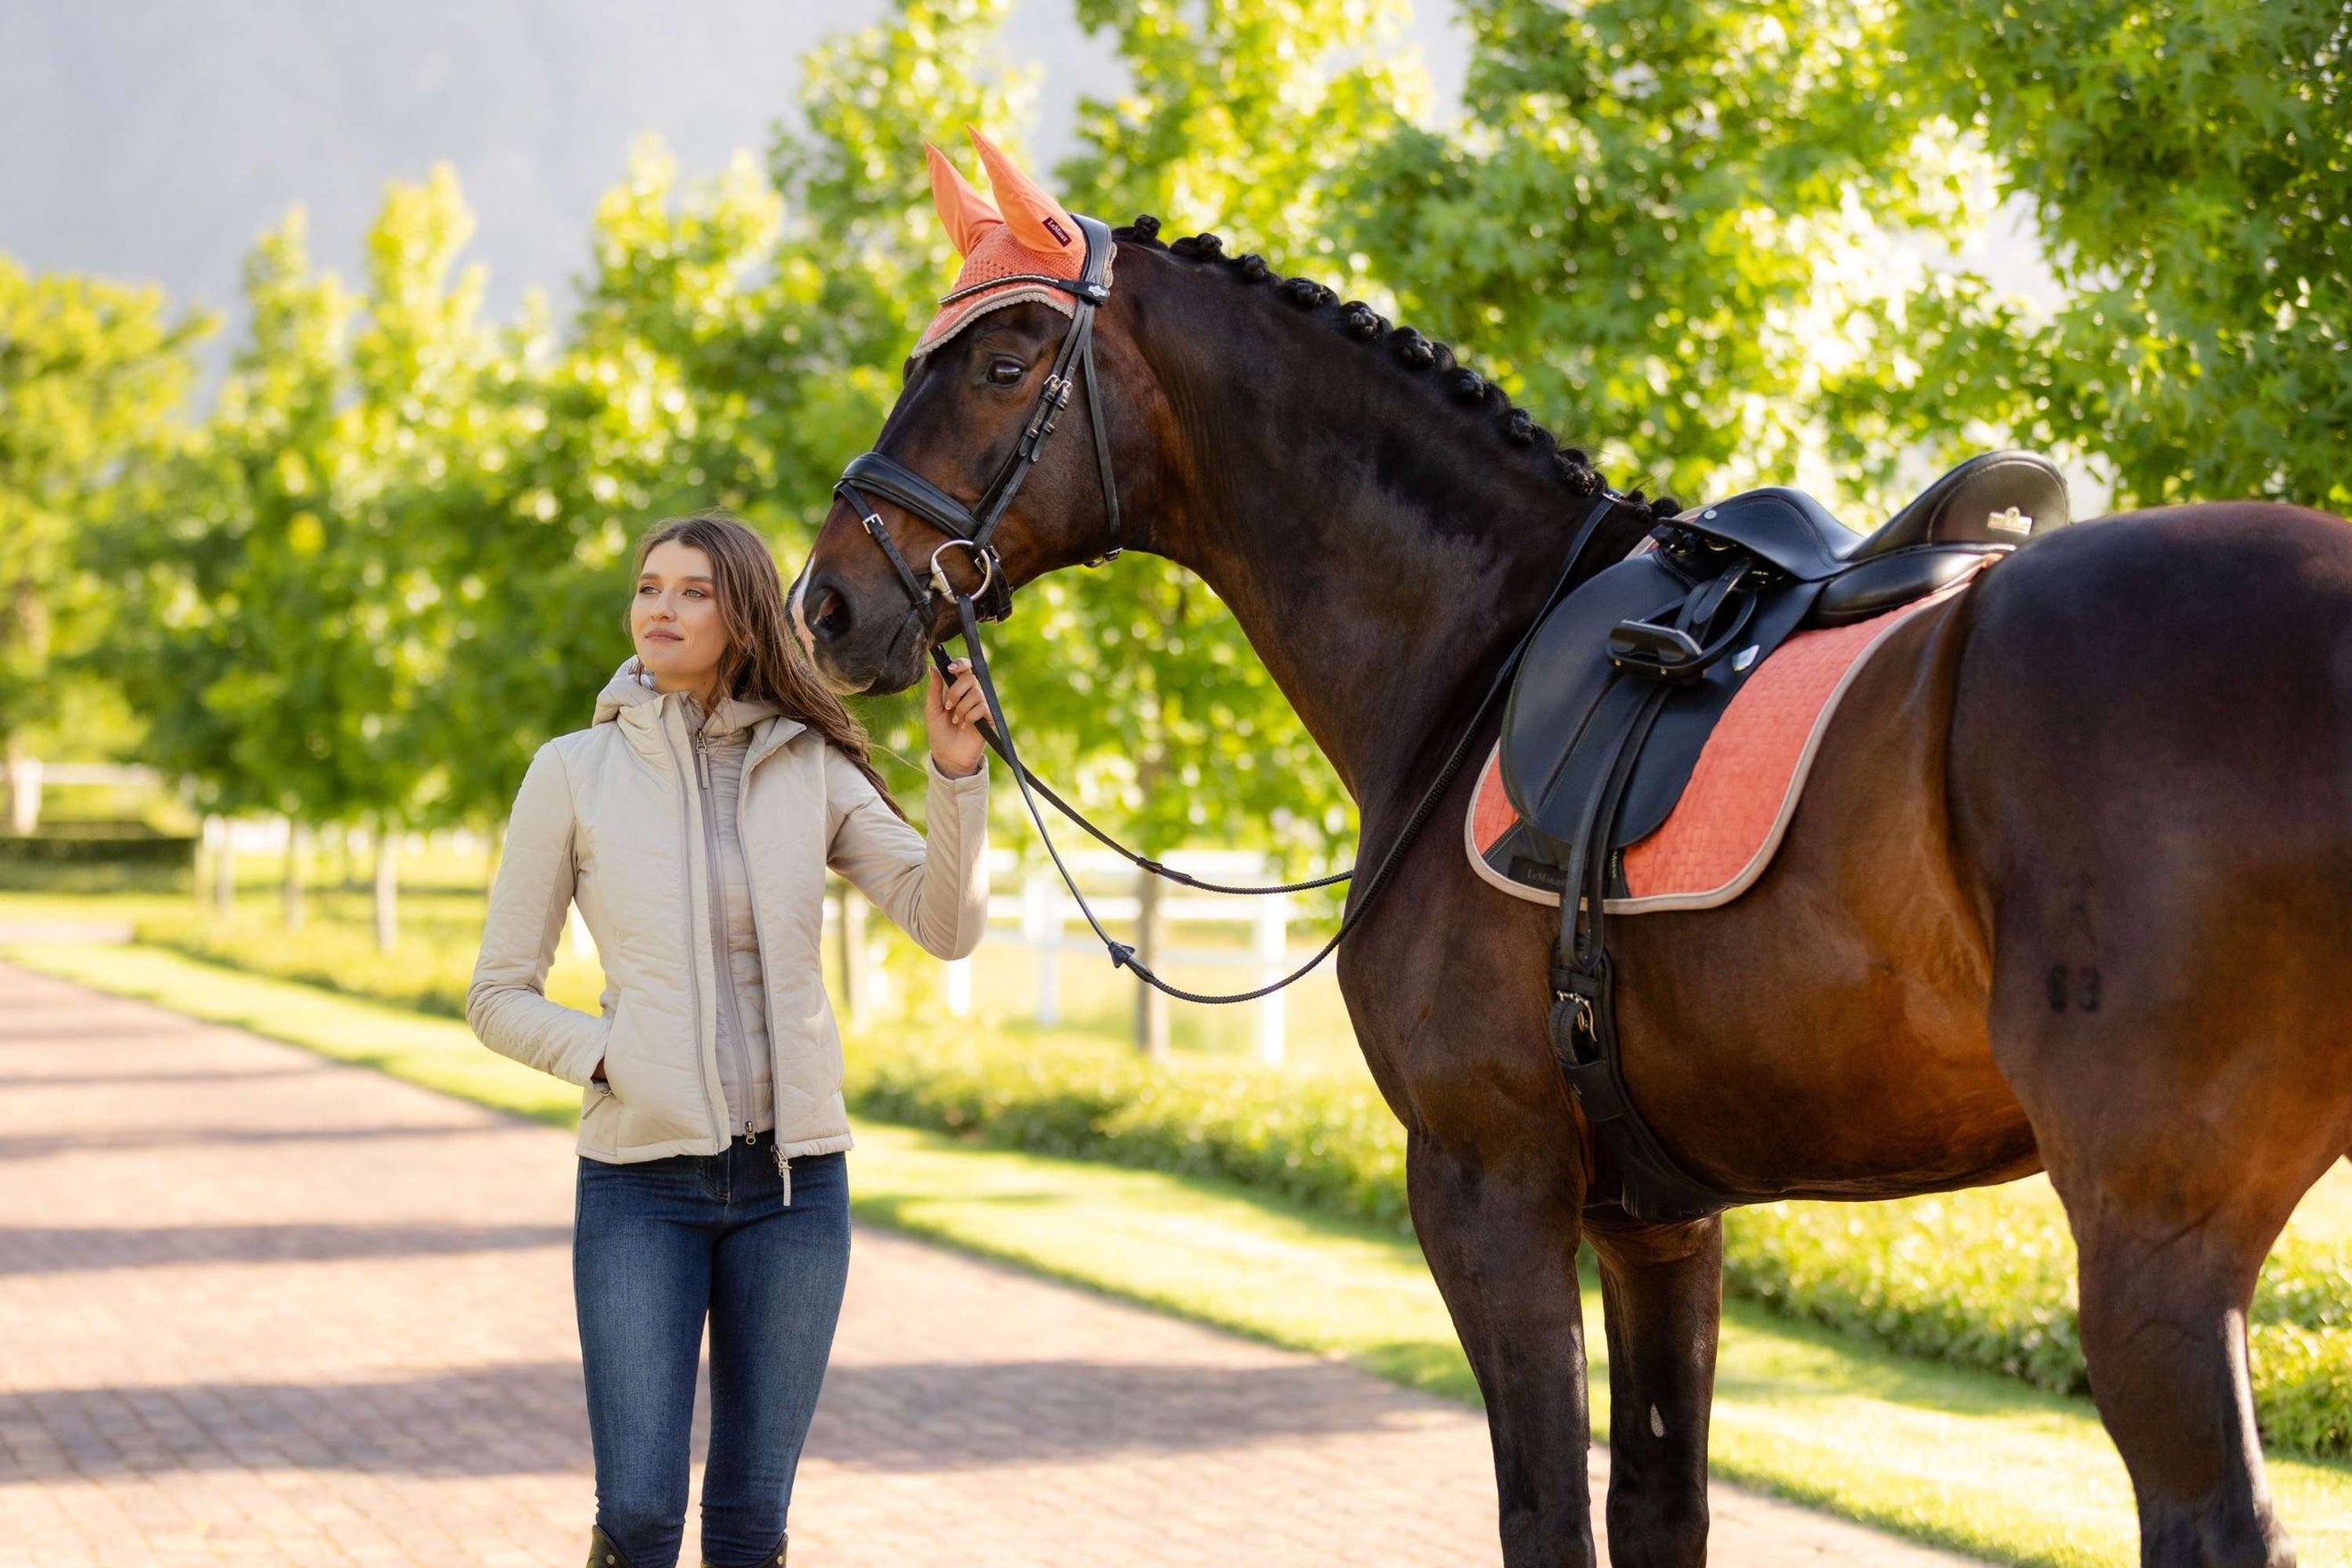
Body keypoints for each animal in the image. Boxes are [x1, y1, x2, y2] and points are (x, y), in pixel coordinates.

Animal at [790, 150, 2352, 1568]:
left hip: (2152, 1234)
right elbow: (1658, 1508)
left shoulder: (1491, 1186)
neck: (1475, 655)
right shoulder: (1660, 1218)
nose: (829, 603)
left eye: (1002, 363)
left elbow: (1546, 1513)